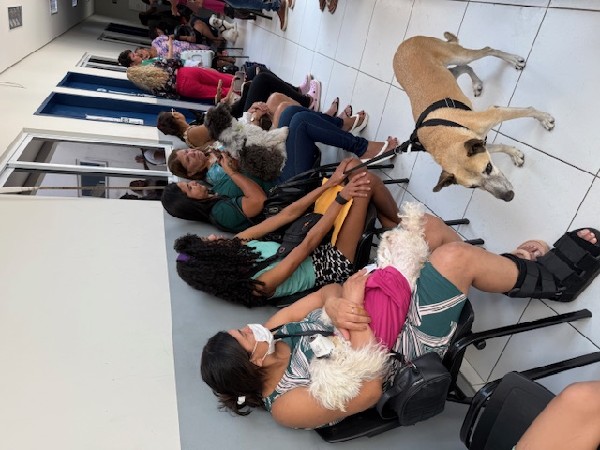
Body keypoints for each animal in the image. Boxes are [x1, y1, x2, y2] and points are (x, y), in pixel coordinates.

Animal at [394, 32, 555, 201]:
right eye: (473, 187)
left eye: (488, 168)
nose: (508, 196)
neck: (445, 134)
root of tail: (403, 45)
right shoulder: (480, 142)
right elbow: (499, 146)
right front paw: (514, 154)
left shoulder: (494, 114)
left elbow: (528, 110)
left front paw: (544, 118)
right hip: (449, 71)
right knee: (463, 67)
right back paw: (476, 83)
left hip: (459, 56)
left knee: (486, 50)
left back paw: (513, 59)